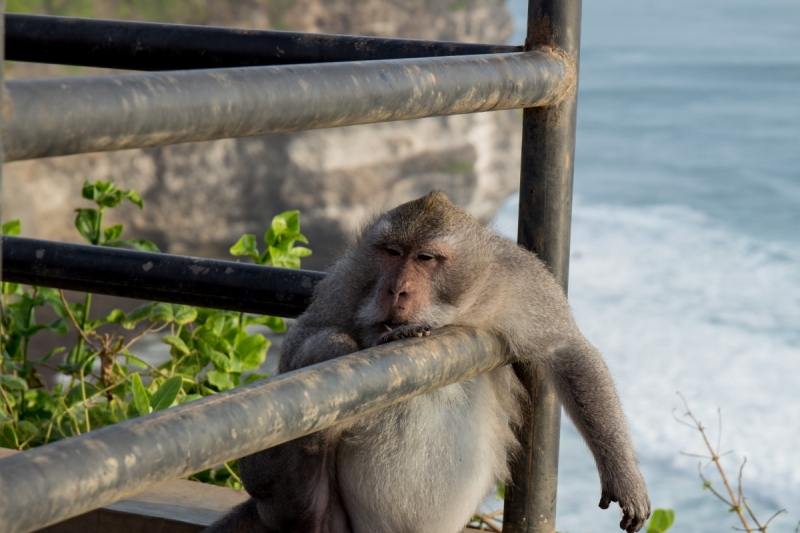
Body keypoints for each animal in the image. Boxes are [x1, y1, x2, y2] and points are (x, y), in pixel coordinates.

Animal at [206, 190, 648, 532]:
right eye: (392, 252)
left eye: (425, 258)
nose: (395, 290)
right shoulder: (350, 278)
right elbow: (301, 347)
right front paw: (377, 336)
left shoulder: (522, 280)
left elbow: (566, 351)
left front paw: (622, 475)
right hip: (282, 498)